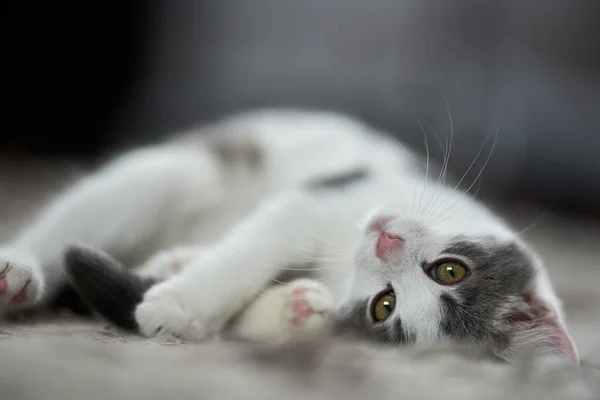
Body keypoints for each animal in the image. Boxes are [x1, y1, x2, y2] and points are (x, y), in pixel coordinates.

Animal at [1, 108, 580, 362]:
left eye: (384, 305)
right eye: (451, 270)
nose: (384, 243)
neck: (343, 261)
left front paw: (286, 311)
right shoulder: (323, 198)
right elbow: (255, 248)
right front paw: (183, 303)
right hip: (189, 168)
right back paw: (18, 271)